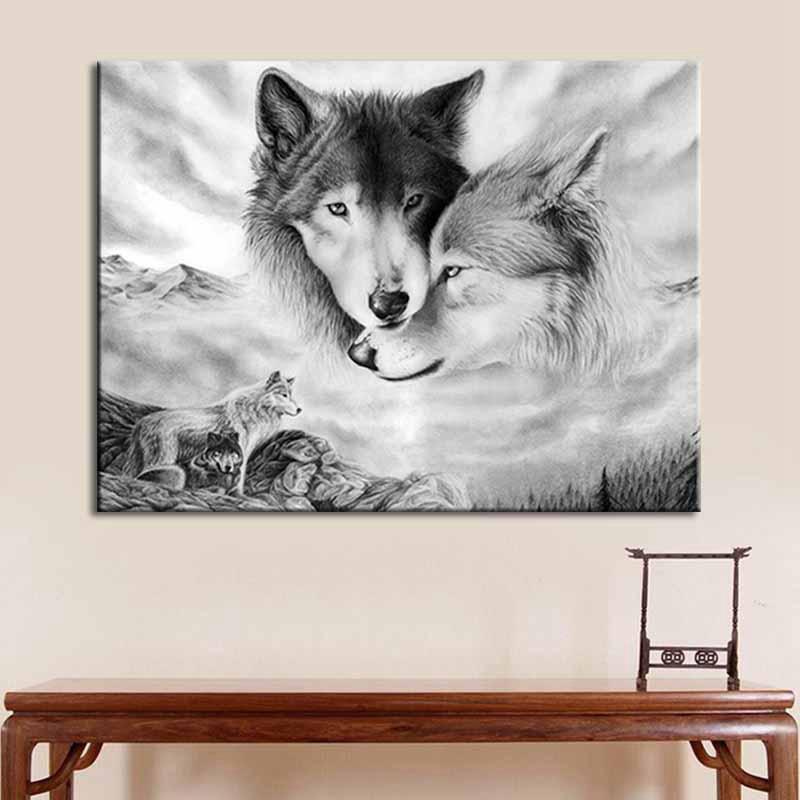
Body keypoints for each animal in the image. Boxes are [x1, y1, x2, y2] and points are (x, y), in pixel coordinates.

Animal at [123, 371, 301, 494]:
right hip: (164, 459)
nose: (300, 409)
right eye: (284, 395)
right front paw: (238, 495)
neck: (255, 409)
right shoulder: (241, 451)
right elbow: (239, 478)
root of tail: (141, 422)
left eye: (291, 396)